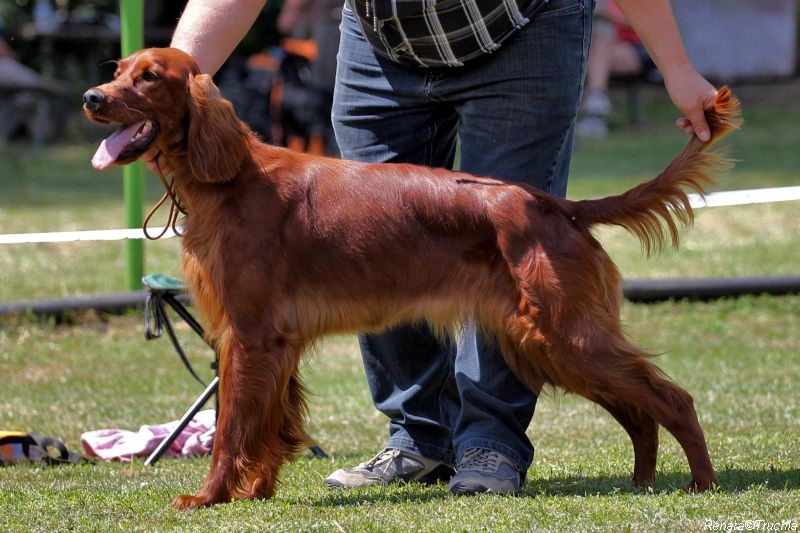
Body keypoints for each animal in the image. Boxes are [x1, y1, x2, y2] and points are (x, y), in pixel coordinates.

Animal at [84, 46, 740, 508]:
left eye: (150, 77)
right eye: (118, 70)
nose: (92, 97)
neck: (233, 179)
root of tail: (555, 205)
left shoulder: (247, 336)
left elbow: (231, 429)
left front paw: (209, 496)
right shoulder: (273, 343)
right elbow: (271, 422)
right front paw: (255, 492)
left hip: (563, 334)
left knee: (671, 399)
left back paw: (701, 482)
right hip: (549, 342)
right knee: (637, 410)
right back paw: (642, 480)